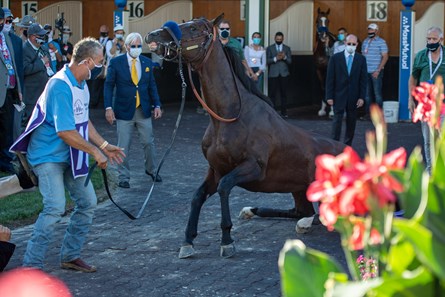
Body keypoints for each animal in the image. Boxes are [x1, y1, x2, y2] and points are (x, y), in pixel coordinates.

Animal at [144, 15, 346, 258]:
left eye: (192, 28)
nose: (153, 35)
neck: (230, 117)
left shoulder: (252, 168)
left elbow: (224, 187)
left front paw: (226, 239)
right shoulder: (215, 170)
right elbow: (197, 196)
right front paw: (188, 241)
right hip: (298, 190)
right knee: (302, 212)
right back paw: (266, 214)